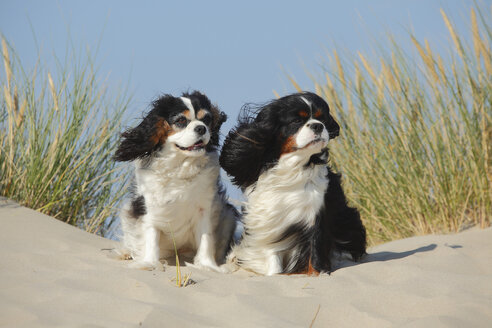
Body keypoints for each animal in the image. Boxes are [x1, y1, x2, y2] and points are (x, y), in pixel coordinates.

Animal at [116, 91, 238, 270]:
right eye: (180, 120)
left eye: (206, 119)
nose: (201, 128)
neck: (180, 164)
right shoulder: (149, 206)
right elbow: (150, 235)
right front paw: (148, 263)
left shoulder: (205, 208)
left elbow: (206, 238)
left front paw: (207, 266)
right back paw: (126, 253)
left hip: (228, 215)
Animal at [219, 91, 366, 276]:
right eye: (297, 121)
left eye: (322, 119)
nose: (317, 126)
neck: (294, 166)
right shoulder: (270, 219)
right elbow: (272, 258)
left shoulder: (316, 213)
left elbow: (316, 247)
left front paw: (318, 273)